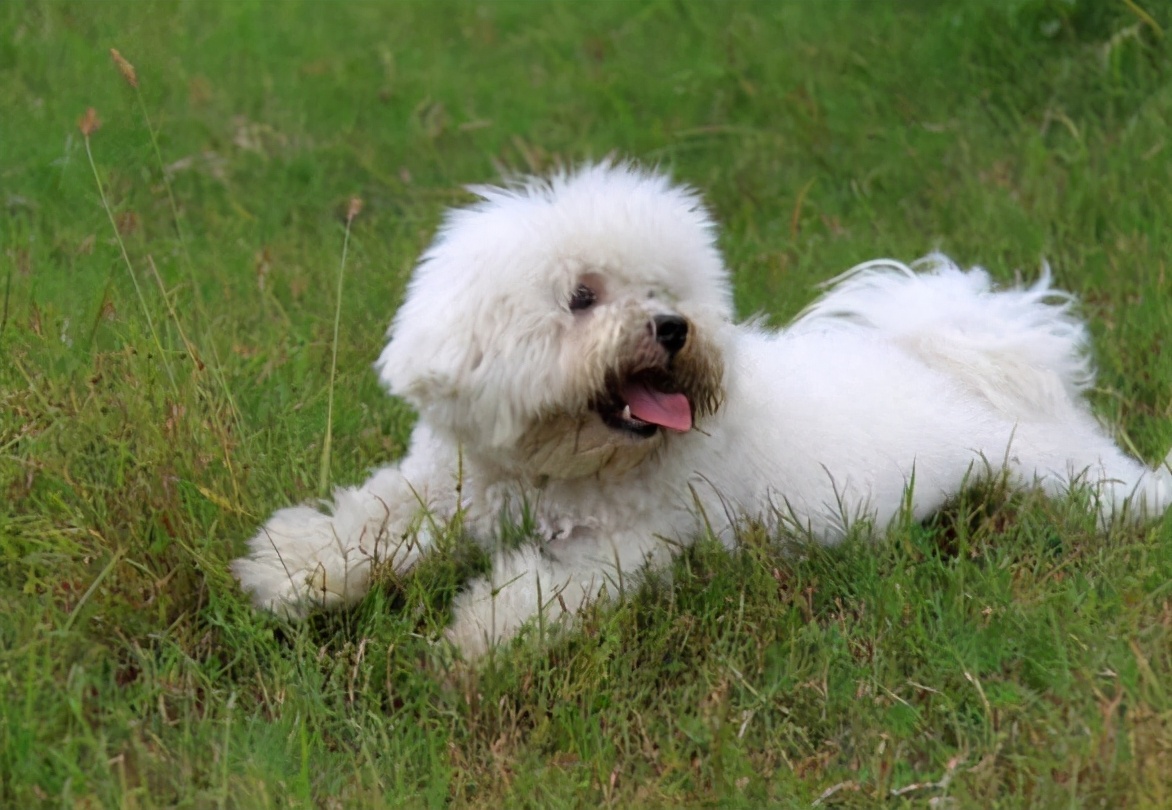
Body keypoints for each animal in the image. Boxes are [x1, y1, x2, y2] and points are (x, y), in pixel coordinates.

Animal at [228, 161, 1172, 656]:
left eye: (666, 292)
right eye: (581, 296)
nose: (674, 330)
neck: (555, 472)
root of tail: (968, 356)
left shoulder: (632, 547)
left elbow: (544, 590)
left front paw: (477, 638)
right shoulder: (448, 484)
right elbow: (369, 519)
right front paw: (294, 572)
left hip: (1070, 480)